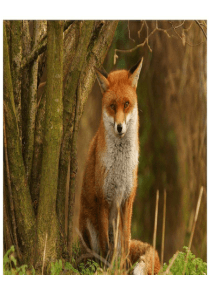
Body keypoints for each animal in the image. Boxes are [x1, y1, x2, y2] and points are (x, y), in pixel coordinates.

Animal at [79, 59, 160, 274]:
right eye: (112, 106)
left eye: (126, 104)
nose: (119, 127)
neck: (120, 165)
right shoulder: (103, 199)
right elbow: (106, 246)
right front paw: (106, 271)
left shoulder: (127, 199)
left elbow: (123, 245)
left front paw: (121, 270)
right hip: (89, 225)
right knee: (99, 250)